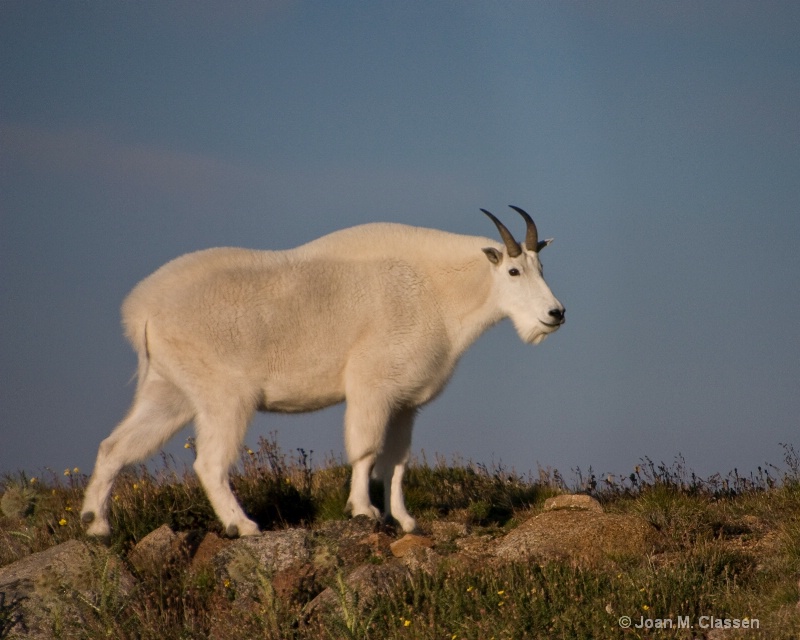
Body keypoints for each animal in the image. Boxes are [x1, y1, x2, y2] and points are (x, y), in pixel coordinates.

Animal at [81, 208, 564, 536]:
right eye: (514, 270)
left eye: (542, 268)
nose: (555, 313)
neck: (436, 290)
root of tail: (140, 311)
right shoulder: (371, 385)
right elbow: (366, 450)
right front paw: (363, 511)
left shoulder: (406, 401)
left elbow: (397, 461)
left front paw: (405, 520)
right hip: (225, 394)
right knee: (209, 463)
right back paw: (244, 526)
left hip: (169, 390)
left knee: (115, 446)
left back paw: (95, 523)